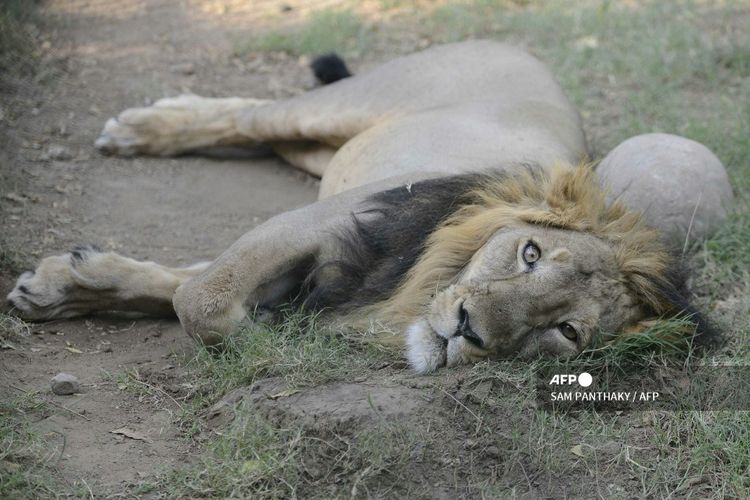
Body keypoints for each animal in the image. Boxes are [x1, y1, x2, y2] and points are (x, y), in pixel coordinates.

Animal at [5, 42, 728, 372]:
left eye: (567, 331)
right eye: (530, 253)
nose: (466, 328)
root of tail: (523, 49)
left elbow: (185, 286)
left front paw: (65, 284)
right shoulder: (314, 223)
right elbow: (202, 302)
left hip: (321, 151)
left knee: (257, 134)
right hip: (334, 109)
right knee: (251, 114)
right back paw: (143, 128)